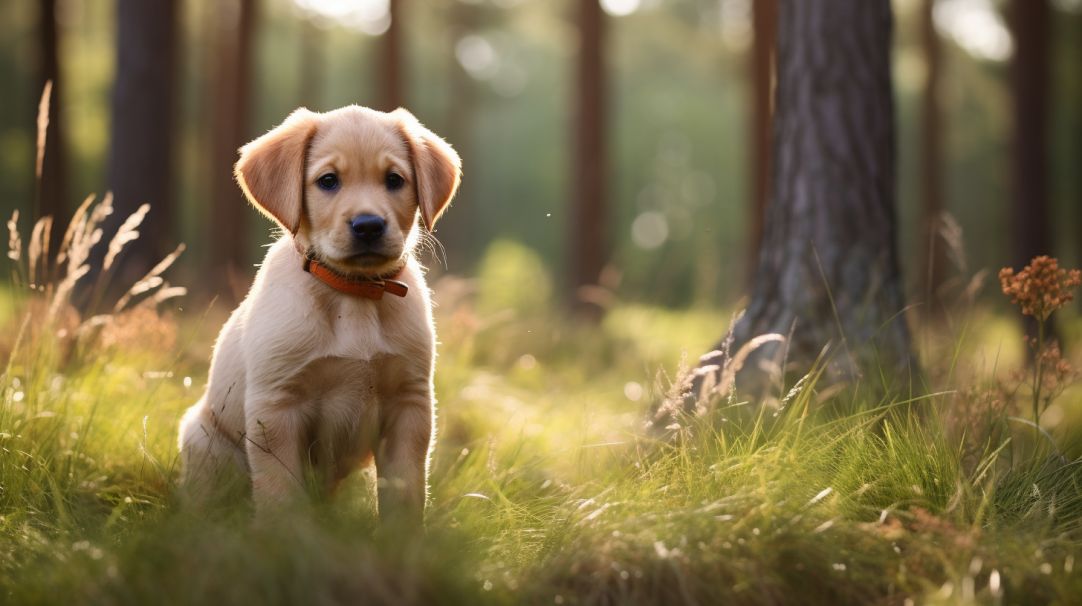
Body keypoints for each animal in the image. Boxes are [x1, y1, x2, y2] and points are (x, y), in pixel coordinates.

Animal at [176, 102, 460, 525]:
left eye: (394, 180)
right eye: (328, 181)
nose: (368, 225)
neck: (354, 292)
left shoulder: (409, 404)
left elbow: (405, 492)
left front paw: (403, 540)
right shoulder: (276, 407)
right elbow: (281, 494)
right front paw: (286, 538)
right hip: (203, 438)